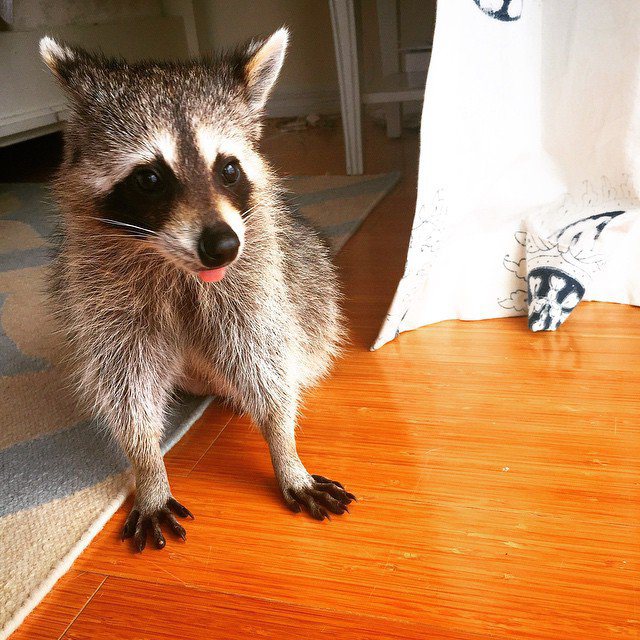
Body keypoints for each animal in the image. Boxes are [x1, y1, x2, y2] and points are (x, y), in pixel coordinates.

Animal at [40, 28, 356, 552]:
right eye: (150, 178)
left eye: (228, 169)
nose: (222, 246)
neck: (174, 263)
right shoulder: (100, 293)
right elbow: (126, 384)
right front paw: (148, 467)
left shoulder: (255, 276)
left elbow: (266, 365)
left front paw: (285, 450)